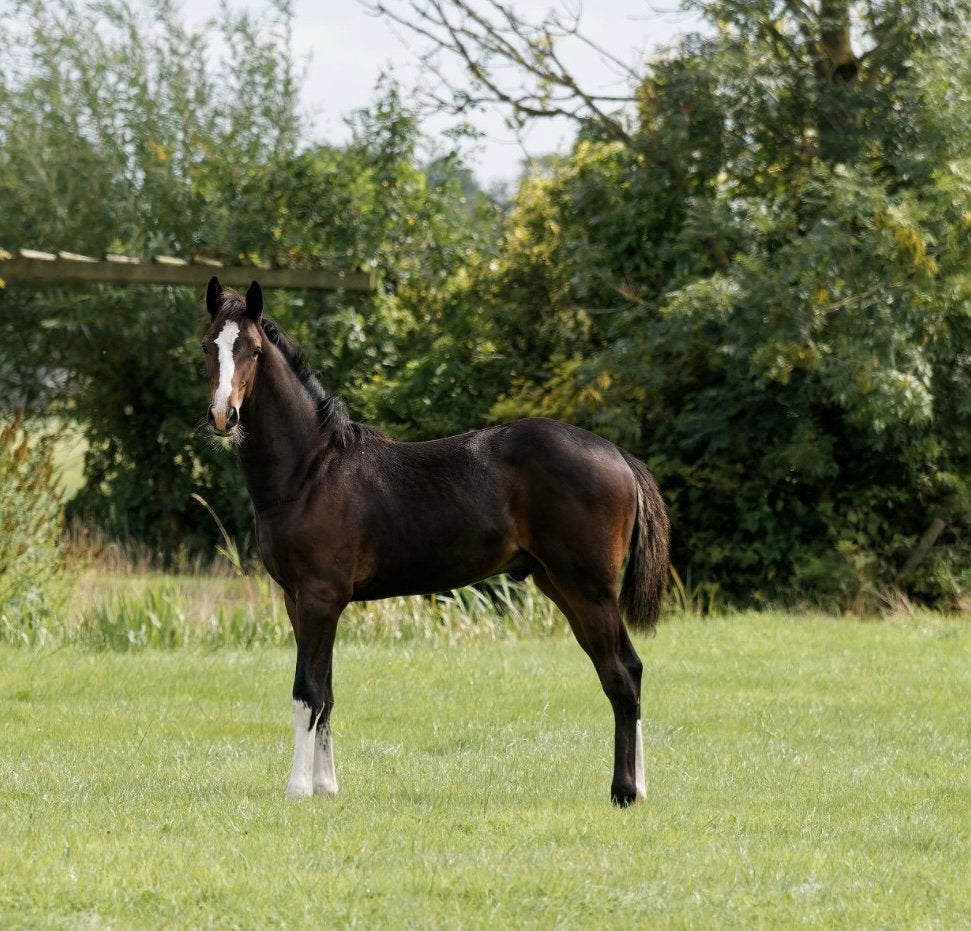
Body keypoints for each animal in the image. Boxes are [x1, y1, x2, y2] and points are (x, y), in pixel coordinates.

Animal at [200, 277, 669, 806]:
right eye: (207, 346)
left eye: (254, 350)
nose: (223, 415)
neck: (310, 472)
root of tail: (618, 455)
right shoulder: (296, 600)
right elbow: (328, 694)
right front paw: (327, 786)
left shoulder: (320, 598)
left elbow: (308, 692)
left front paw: (299, 789)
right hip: (561, 586)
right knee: (629, 668)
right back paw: (640, 787)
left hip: (589, 589)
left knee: (620, 676)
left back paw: (624, 790)